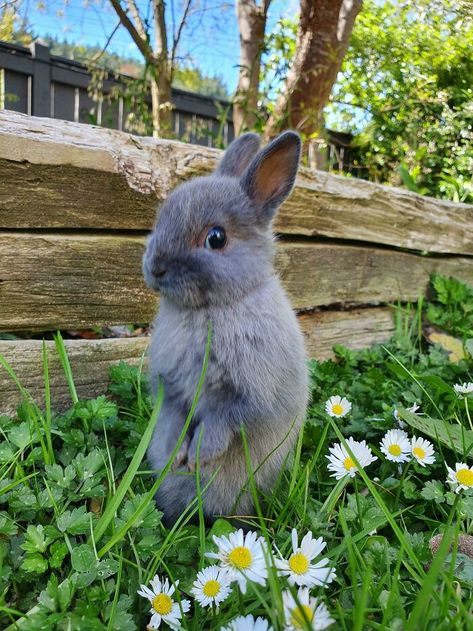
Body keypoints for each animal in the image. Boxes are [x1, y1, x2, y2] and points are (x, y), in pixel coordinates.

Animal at [142, 131, 308, 524]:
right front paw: (178, 453)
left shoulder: (247, 396)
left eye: (216, 238)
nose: (155, 268)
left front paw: (196, 457)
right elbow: (172, 417)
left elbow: (223, 422)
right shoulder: (170, 388)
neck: (211, 310)